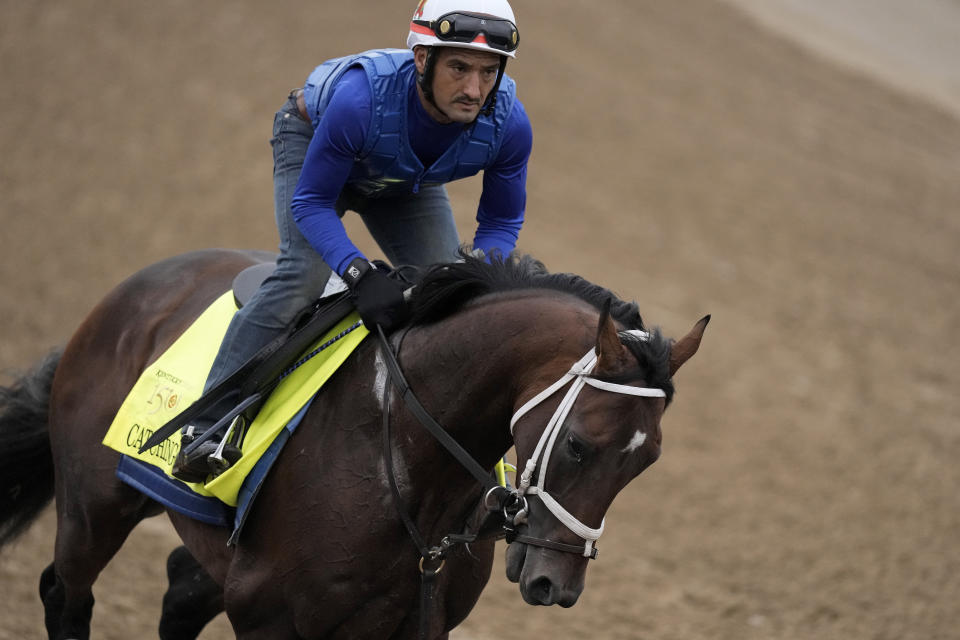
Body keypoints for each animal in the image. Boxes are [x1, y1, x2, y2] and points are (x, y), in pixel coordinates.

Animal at [0, 250, 704, 640]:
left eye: (646, 463)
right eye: (580, 446)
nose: (556, 584)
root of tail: (136, 289)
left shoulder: (418, 623)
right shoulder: (269, 618)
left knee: (178, 590)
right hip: (94, 506)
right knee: (65, 593)